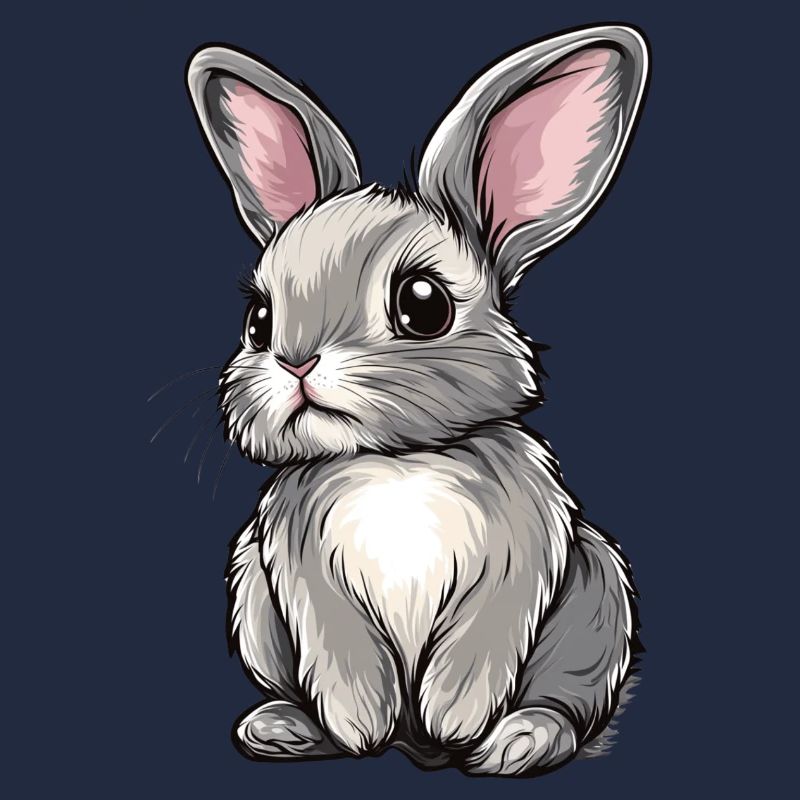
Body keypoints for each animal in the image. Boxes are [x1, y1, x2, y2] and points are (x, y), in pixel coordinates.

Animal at [185, 23, 649, 777]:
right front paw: (360, 727)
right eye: (259, 321)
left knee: (566, 704)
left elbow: (481, 645)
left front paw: (456, 719)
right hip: (251, 595)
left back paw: (517, 741)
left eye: (422, 304)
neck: (393, 461)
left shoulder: (519, 562)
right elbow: (345, 657)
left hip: (599, 599)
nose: (294, 362)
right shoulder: (303, 579)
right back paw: (282, 728)